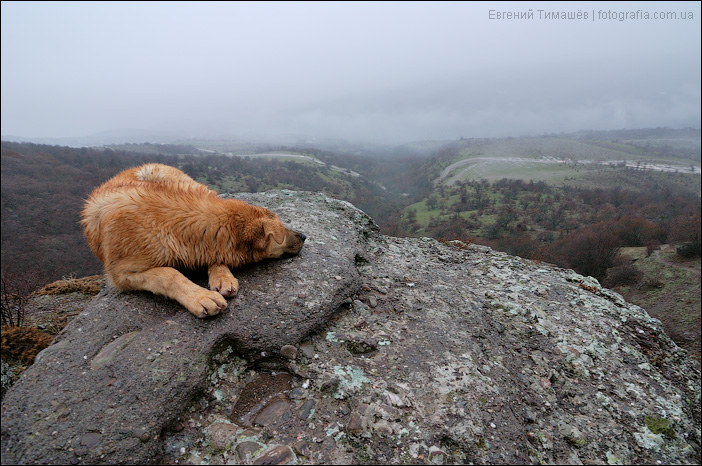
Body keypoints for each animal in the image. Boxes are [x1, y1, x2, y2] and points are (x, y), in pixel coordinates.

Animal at [80, 162, 306, 318]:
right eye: (279, 233)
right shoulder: (120, 275)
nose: (305, 236)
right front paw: (200, 296)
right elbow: (168, 274)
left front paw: (220, 275)